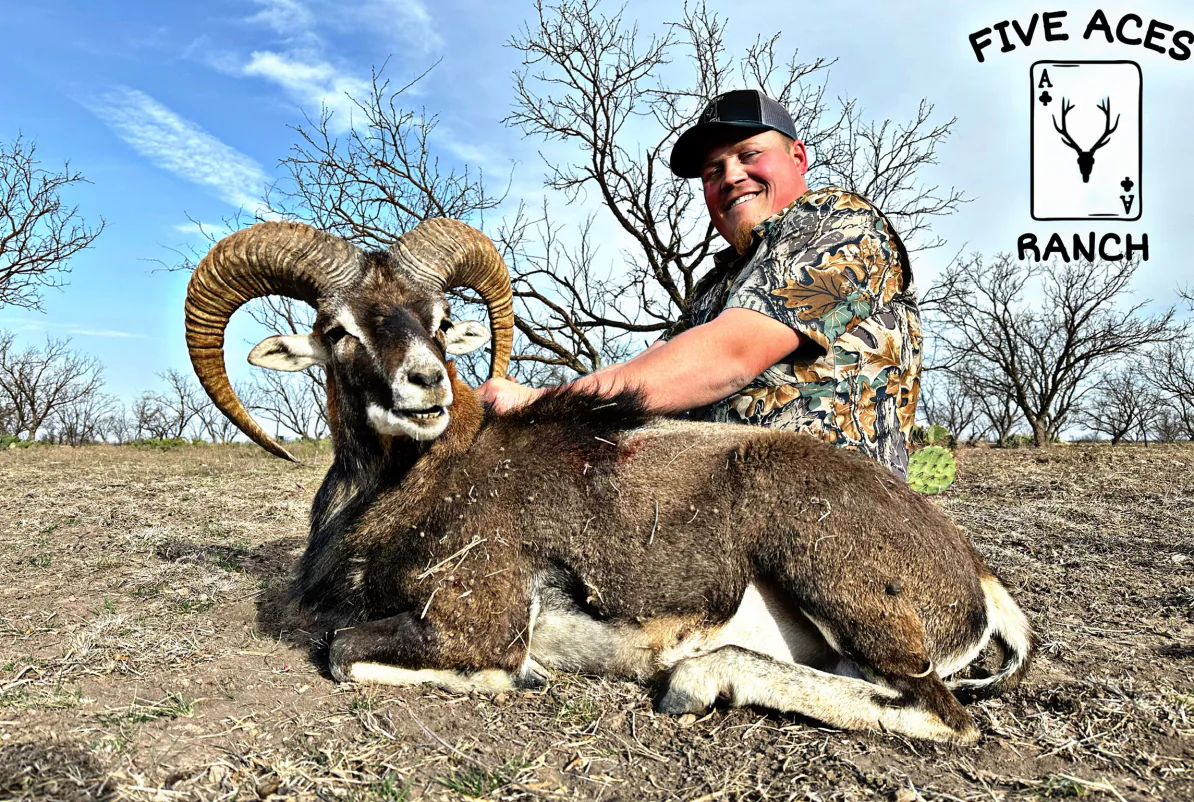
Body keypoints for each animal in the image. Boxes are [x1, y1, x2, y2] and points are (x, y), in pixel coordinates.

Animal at [184, 218, 1035, 744]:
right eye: (337, 329)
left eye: (439, 318)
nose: (424, 385)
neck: (402, 491)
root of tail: (973, 573)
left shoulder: (472, 621)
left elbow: (345, 652)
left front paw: (523, 677)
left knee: (941, 714)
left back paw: (697, 680)